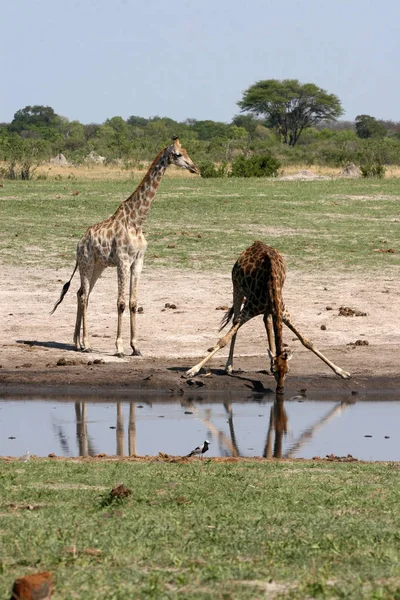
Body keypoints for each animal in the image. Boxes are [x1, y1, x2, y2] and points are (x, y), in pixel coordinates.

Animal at [51, 138, 198, 356]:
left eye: (187, 151)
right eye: (178, 154)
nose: (194, 168)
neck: (137, 221)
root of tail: (79, 243)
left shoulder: (138, 262)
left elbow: (133, 303)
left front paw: (135, 347)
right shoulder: (123, 260)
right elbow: (120, 303)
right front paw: (119, 347)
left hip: (98, 266)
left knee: (80, 294)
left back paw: (77, 343)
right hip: (87, 263)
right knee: (84, 296)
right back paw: (87, 343)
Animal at [186, 241, 348, 392]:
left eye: (288, 370)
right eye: (274, 370)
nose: (280, 388)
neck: (271, 282)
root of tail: (255, 243)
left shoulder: (283, 311)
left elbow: (307, 342)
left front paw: (342, 371)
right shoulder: (250, 309)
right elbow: (223, 340)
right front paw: (192, 370)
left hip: (267, 308)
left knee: (267, 321)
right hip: (237, 288)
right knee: (235, 321)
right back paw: (229, 366)